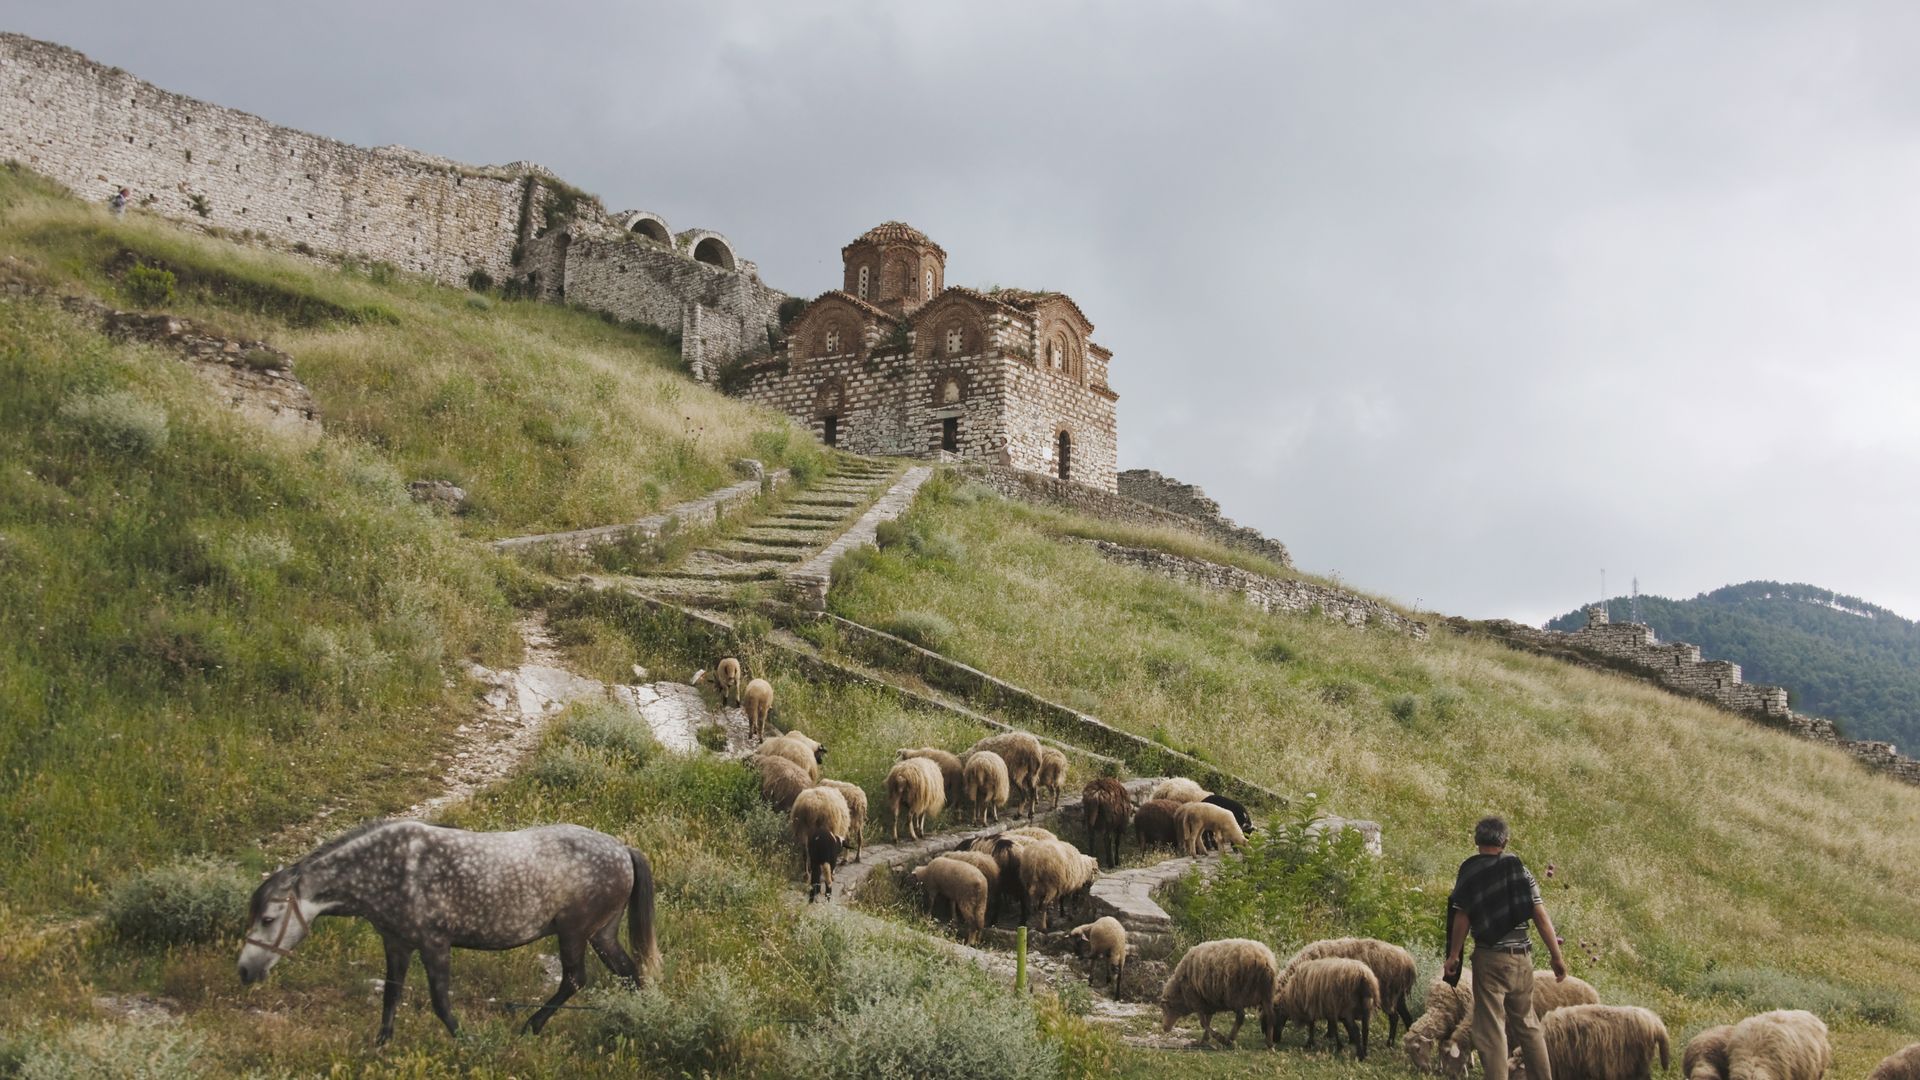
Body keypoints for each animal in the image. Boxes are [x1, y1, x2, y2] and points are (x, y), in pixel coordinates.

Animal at [237, 820, 659, 1043]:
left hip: (573, 933)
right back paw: (637, 1023)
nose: (244, 970)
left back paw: (531, 1026)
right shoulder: (397, 944)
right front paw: (381, 1042)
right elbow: (391, 994)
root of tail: (623, 849)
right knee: (629, 973)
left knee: (574, 979)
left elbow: (440, 1002)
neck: (388, 868)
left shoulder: (434, 944)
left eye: (269, 919)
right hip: (601, 934)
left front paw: (466, 1040)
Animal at [1287, 937, 1418, 1042]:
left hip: (1388, 994)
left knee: (1394, 1017)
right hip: (1398, 995)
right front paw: (1330, 1035)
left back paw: (1389, 1043)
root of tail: (1408, 961)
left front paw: (1329, 1035)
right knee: (1407, 1017)